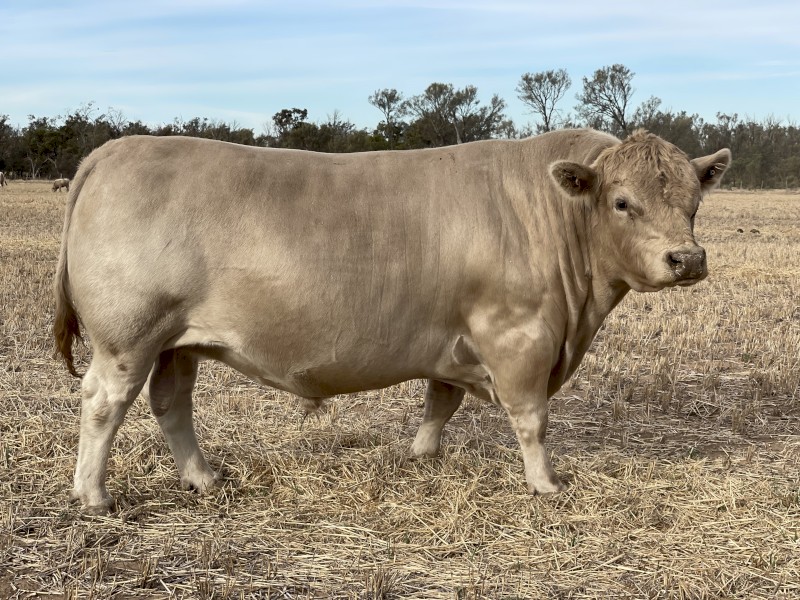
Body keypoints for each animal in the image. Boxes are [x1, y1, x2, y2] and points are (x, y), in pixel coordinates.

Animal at [53, 129, 731, 514]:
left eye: (694, 202)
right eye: (622, 202)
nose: (688, 258)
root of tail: (118, 147)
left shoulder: (453, 338)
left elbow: (440, 400)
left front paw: (422, 455)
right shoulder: (518, 337)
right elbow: (531, 419)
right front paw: (546, 485)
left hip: (177, 341)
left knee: (171, 402)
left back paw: (204, 478)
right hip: (128, 335)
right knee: (104, 403)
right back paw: (94, 496)